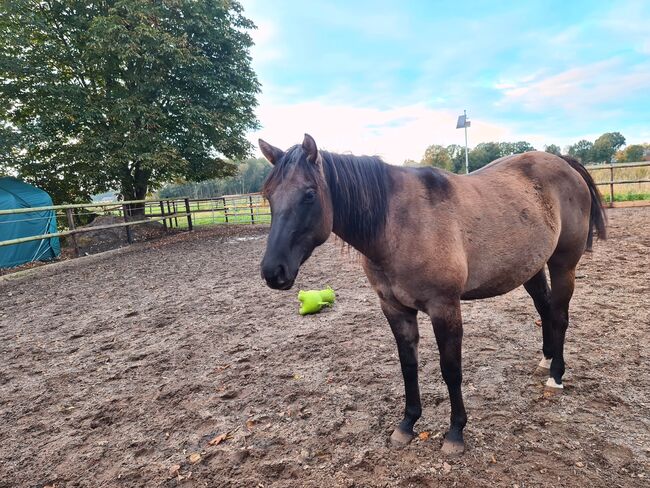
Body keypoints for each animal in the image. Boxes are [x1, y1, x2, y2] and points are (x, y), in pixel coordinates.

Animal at [256, 132, 604, 454]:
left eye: (309, 194)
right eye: (269, 196)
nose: (273, 272)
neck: (397, 225)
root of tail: (563, 163)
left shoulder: (444, 307)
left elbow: (451, 369)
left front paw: (456, 432)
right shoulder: (395, 309)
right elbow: (408, 366)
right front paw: (407, 424)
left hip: (563, 264)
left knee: (559, 315)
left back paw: (556, 376)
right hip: (529, 267)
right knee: (545, 309)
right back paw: (546, 360)